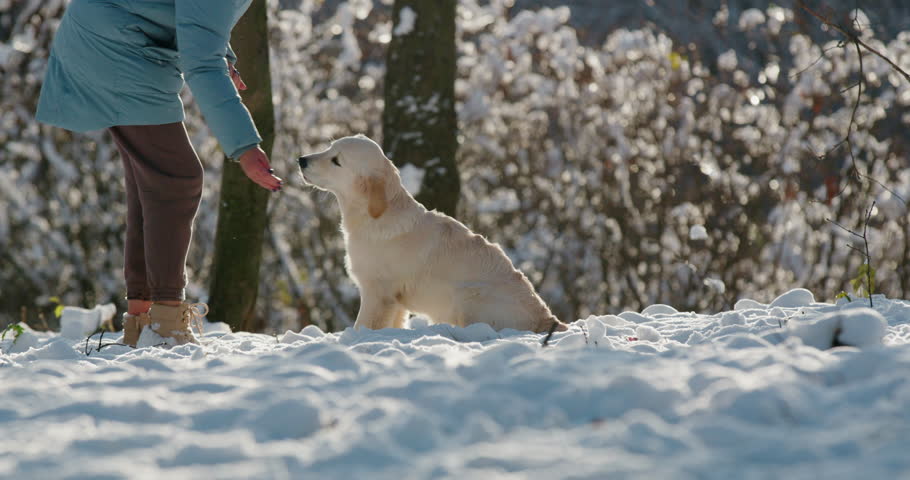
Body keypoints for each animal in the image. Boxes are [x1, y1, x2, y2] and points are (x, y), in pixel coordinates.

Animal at [302, 133, 568, 332]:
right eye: (329, 148)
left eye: (336, 161)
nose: (301, 159)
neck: (375, 216)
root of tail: (547, 319)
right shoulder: (396, 300)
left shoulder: (377, 291)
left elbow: (364, 324)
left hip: (468, 295)